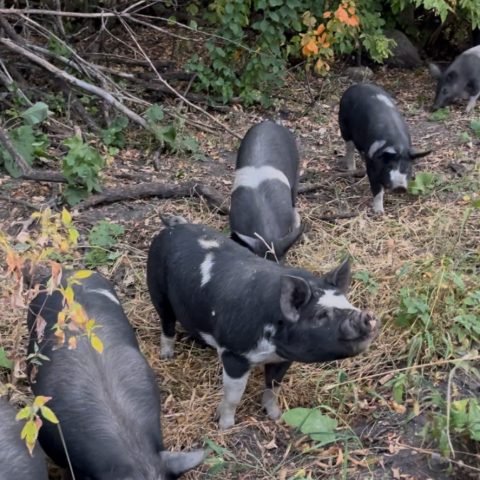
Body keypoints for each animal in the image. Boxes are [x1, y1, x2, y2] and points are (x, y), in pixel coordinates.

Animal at [146, 219, 378, 430]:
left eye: (348, 302)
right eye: (321, 315)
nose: (366, 316)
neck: (271, 346)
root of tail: (172, 227)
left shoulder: (283, 358)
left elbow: (273, 387)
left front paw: (276, 416)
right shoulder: (235, 354)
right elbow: (233, 395)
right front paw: (225, 426)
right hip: (157, 288)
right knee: (166, 322)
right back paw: (166, 356)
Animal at [338, 84, 432, 214]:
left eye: (407, 168)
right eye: (389, 167)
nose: (400, 187)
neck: (397, 146)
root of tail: (355, 86)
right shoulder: (372, 165)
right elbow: (377, 189)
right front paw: (379, 212)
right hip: (344, 127)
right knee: (350, 149)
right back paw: (352, 173)